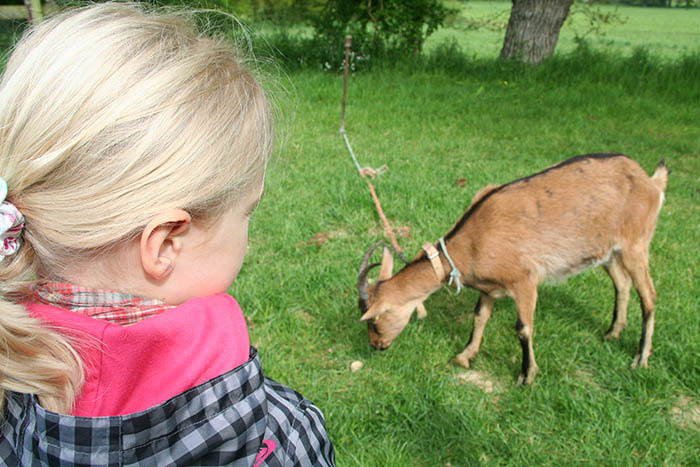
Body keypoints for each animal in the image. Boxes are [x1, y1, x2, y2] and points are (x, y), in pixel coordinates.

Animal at [358, 154, 668, 384]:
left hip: (636, 244)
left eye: (374, 320)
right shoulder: (490, 287)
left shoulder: (525, 279)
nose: (375, 345)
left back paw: (641, 358)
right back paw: (613, 333)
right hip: (608, 253)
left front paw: (527, 375)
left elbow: (523, 328)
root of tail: (652, 182)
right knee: (622, 284)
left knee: (649, 296)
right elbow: (479, 316)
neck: (471, 242)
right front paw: (465, 356)